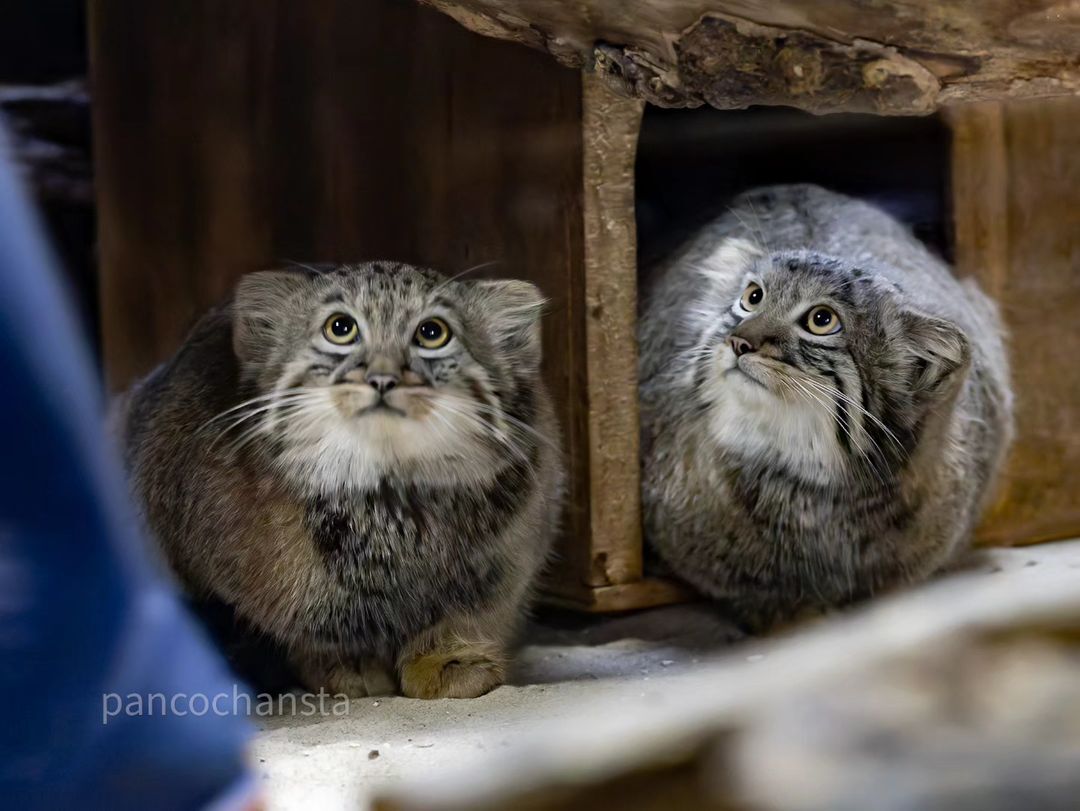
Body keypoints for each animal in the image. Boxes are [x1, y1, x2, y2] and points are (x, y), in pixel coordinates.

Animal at [118, 261, 565, 699]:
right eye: (340, 328)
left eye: (432, 333)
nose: (383, 378)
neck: (390, 502)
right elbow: (314, 628)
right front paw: (349, 666)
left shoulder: (511, 558)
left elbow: (467, 615)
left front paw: (450, 660)